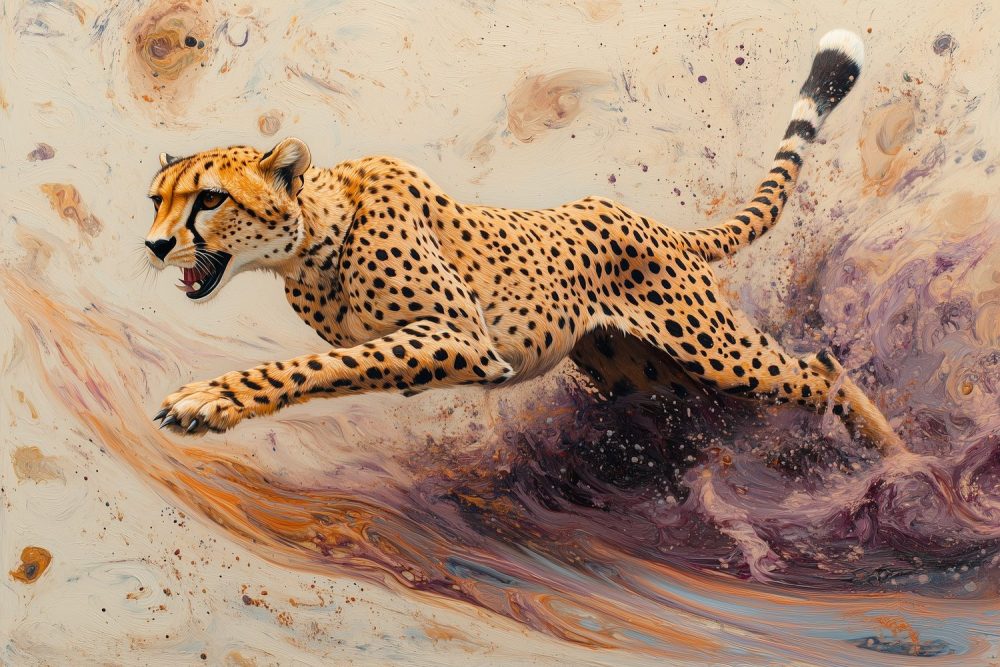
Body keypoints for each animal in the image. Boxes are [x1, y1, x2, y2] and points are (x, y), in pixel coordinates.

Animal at [145, 30, 906, 455]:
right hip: (649, 375)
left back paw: (906, 466)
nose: (154, 245)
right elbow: (342, 362)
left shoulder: (461, 337)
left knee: (821, 369)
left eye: (210, 198)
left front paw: (211, 400)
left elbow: (327, 366)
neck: (314, 240)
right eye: (157, 200)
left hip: (716, 351)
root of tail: (645, 219)